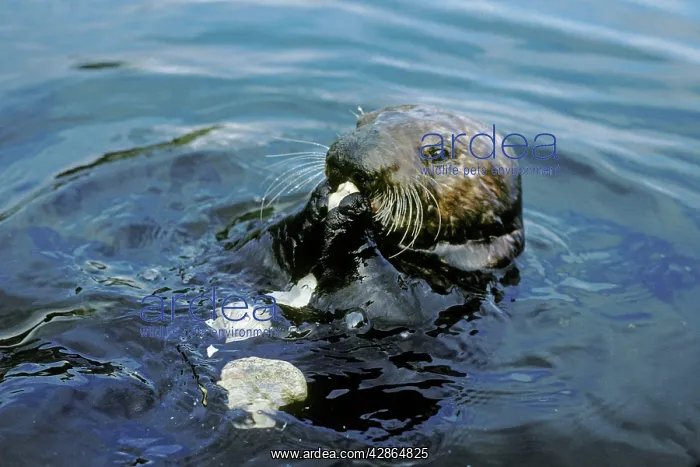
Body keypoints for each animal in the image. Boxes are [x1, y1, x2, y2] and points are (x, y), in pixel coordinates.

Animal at [222, 105, 524, 330]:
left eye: (436, 151)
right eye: (360, 122)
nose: (352, 156)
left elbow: (390, 305)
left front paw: (350, 214)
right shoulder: (259, 254)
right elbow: (260, 247)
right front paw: (319, 201)